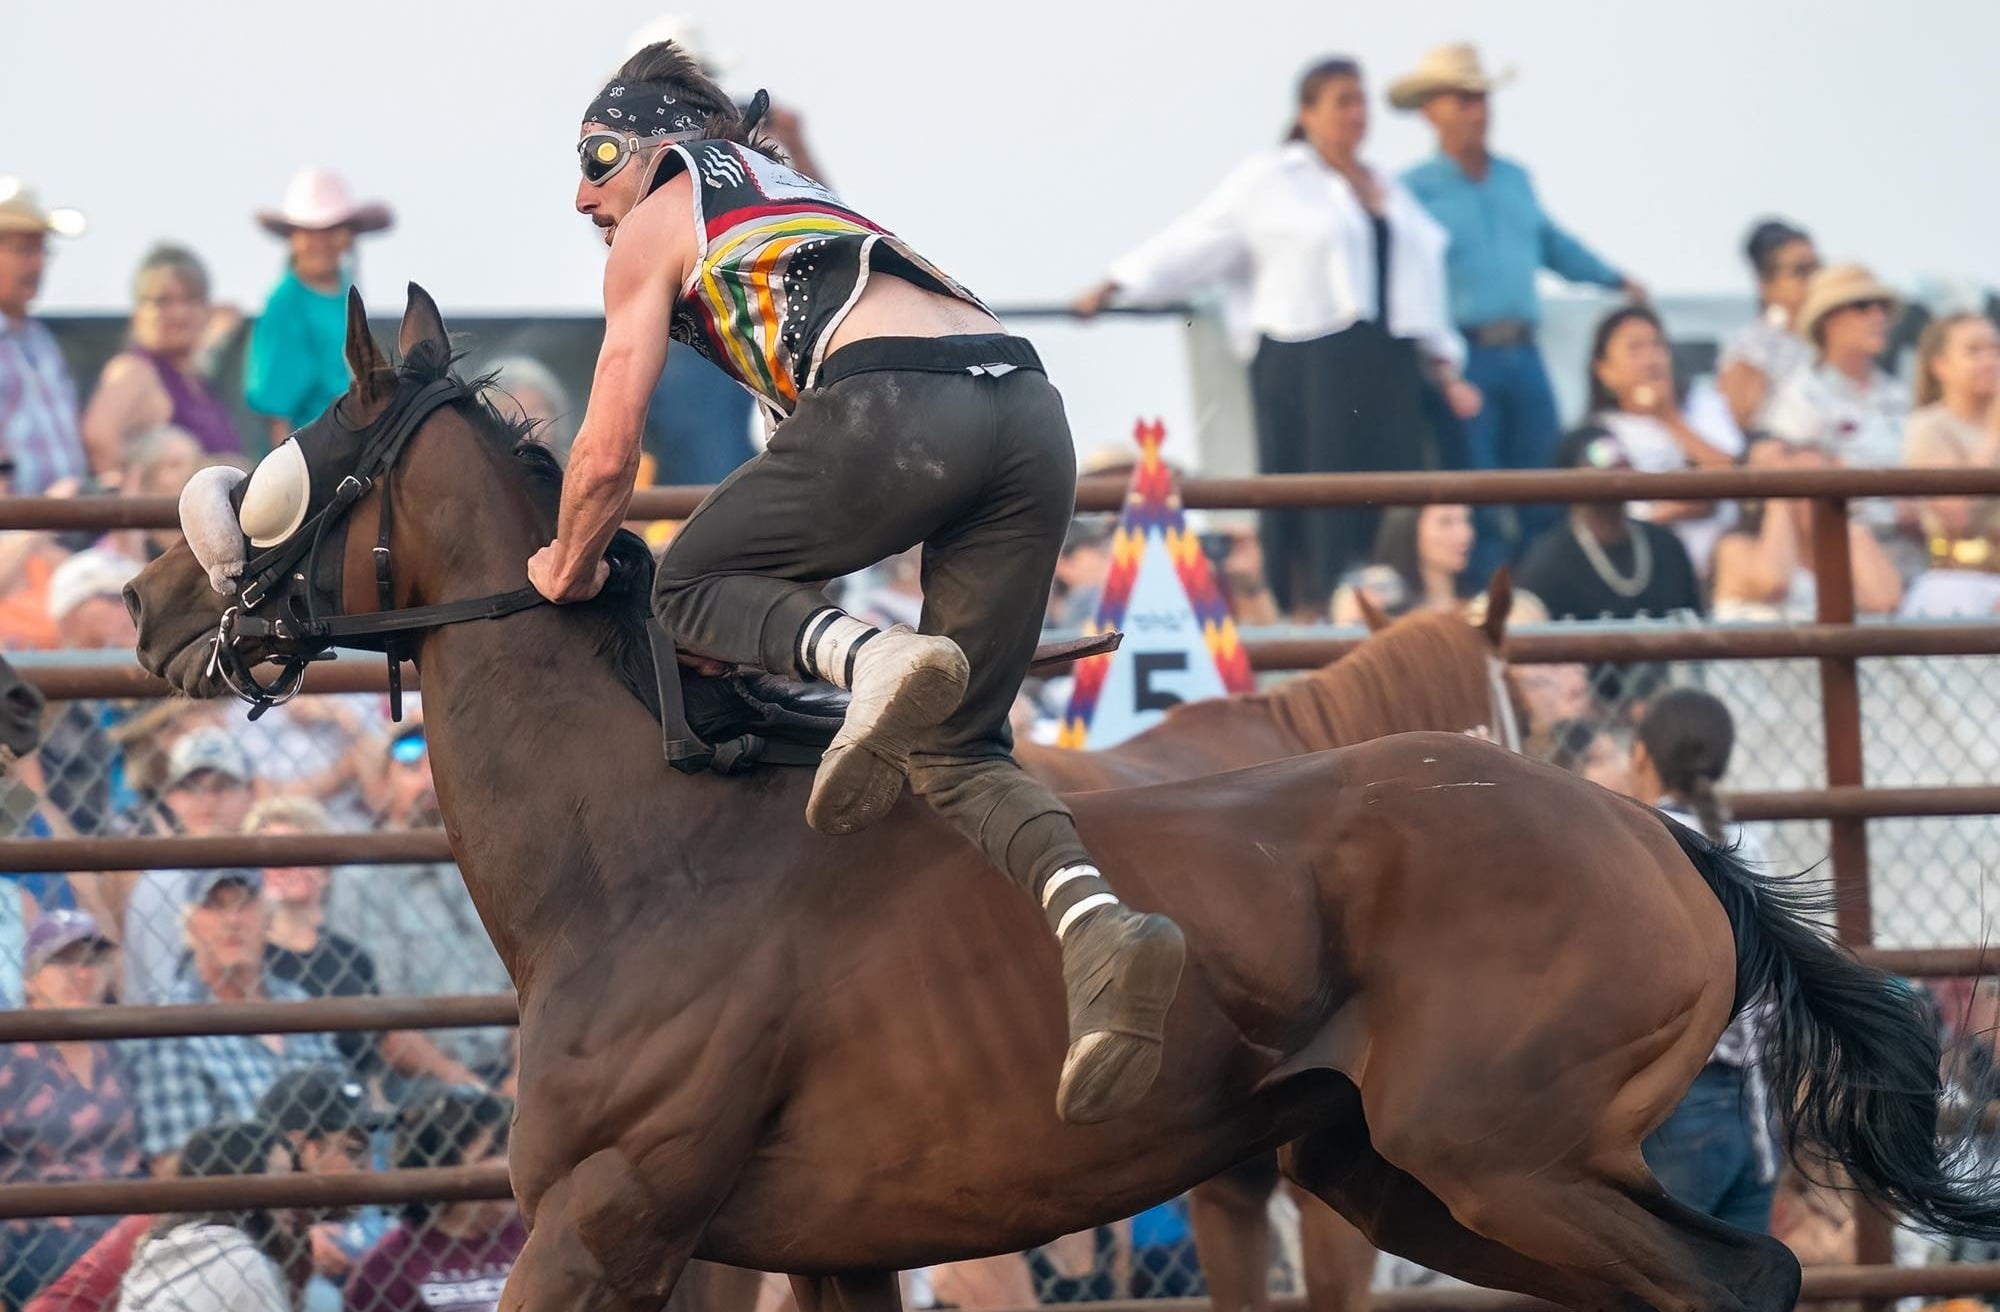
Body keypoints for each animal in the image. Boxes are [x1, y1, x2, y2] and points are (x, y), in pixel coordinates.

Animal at [127, 286, 2000, 1312]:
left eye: (298, 449)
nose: (150, 602)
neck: (642, 856)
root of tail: (1658, 834)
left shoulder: (607, 1215)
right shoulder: (795, 1242)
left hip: (1505, 1153)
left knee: (1747, 1274)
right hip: (1406, 1174)